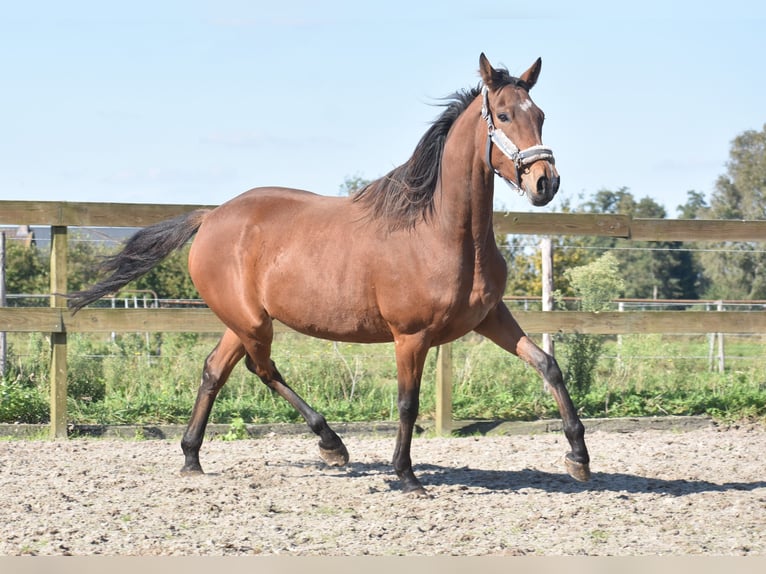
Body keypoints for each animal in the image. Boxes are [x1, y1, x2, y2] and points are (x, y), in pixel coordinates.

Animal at [69, 53, 592, 496]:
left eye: (540, 114)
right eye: (502, 116)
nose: (545, 182)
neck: (441, 230)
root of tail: (211, 216)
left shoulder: (489, 317)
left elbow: (549, 365)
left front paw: (579, 457)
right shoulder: (411, 336)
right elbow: (407, 402)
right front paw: (406, 476)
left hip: (241, 321)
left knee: (216, 370)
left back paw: (192, 457)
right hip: (252, 322)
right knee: (261, 369)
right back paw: (331, 444)